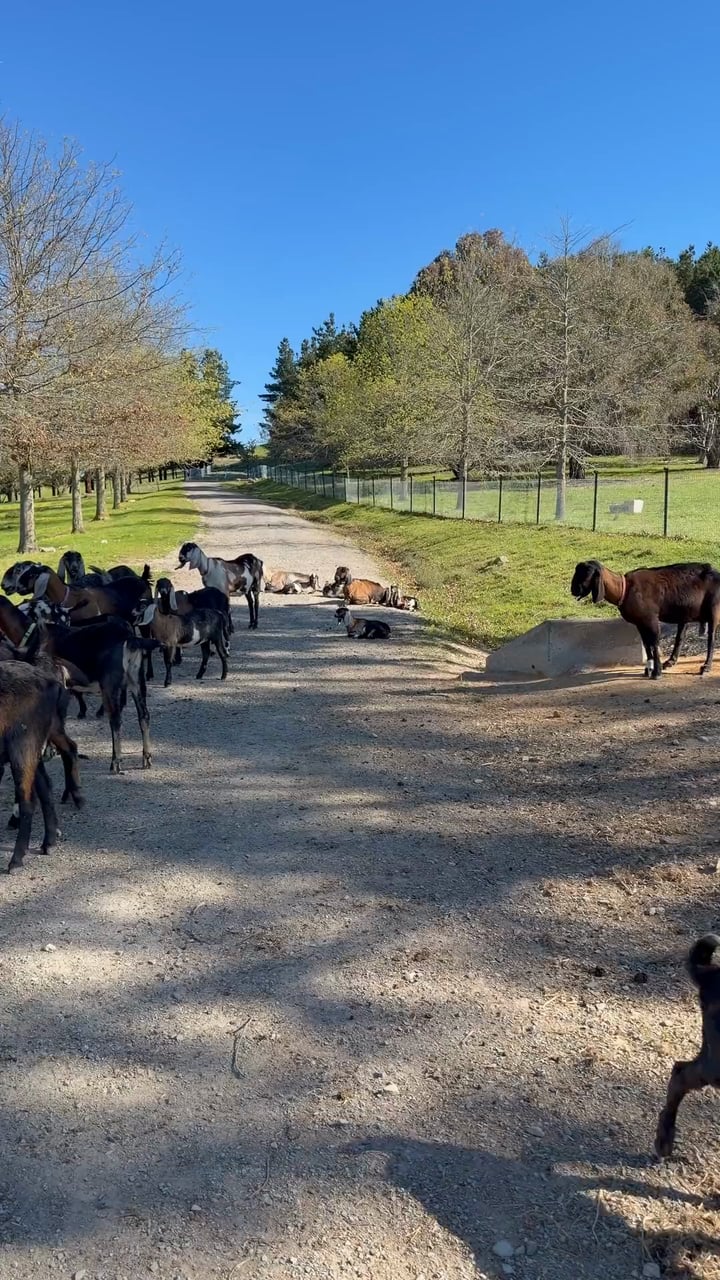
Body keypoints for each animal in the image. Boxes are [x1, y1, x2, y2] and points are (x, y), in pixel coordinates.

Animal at [0, 661, 84, 871]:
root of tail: (51, 682)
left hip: (23, 745)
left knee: (28, 799)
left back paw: (16, 860)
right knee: (46, 785)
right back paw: (49, 842)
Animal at [570, 560, 720, 678]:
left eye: (587, 574)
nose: (573, 590)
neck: (625, 589)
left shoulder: (651, 619)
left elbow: (654, 643)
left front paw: (657, 673)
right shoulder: (640, 622)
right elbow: (647, 644)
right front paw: (649, 669)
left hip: (714, 608)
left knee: (711, 638)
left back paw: (706, 667)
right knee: (681, 636)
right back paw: (670, 662)